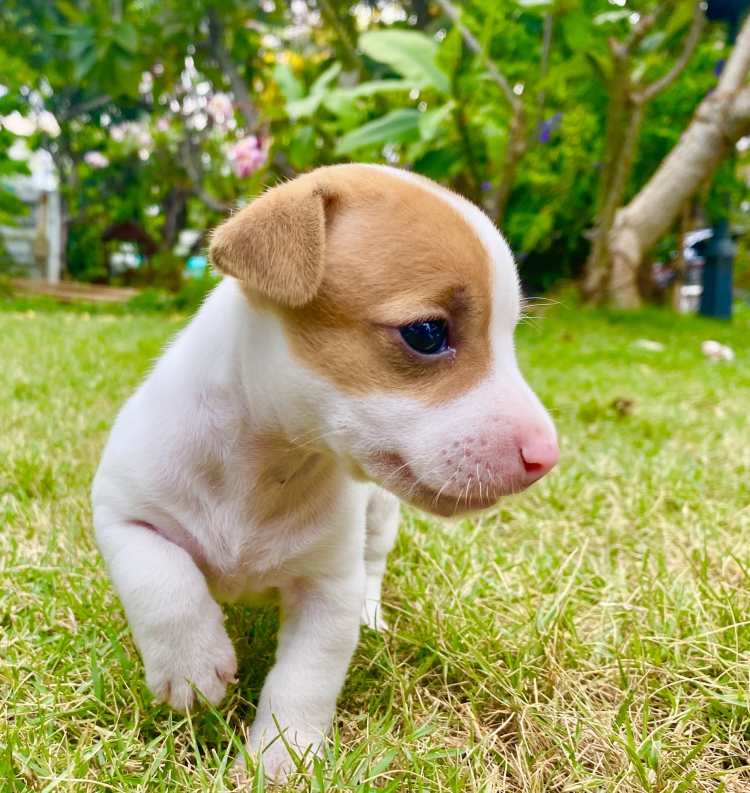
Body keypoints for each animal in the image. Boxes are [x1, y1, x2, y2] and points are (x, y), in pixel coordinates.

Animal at [92, 164, 559, 780]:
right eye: (426, 333)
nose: (547, 456)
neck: (269, 464)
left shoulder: (328, 590)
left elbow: (303, 680)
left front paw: (278, 759)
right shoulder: (123, 513)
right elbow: (161, 579)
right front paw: (191, 663)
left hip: (380, 518)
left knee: (374, 565)